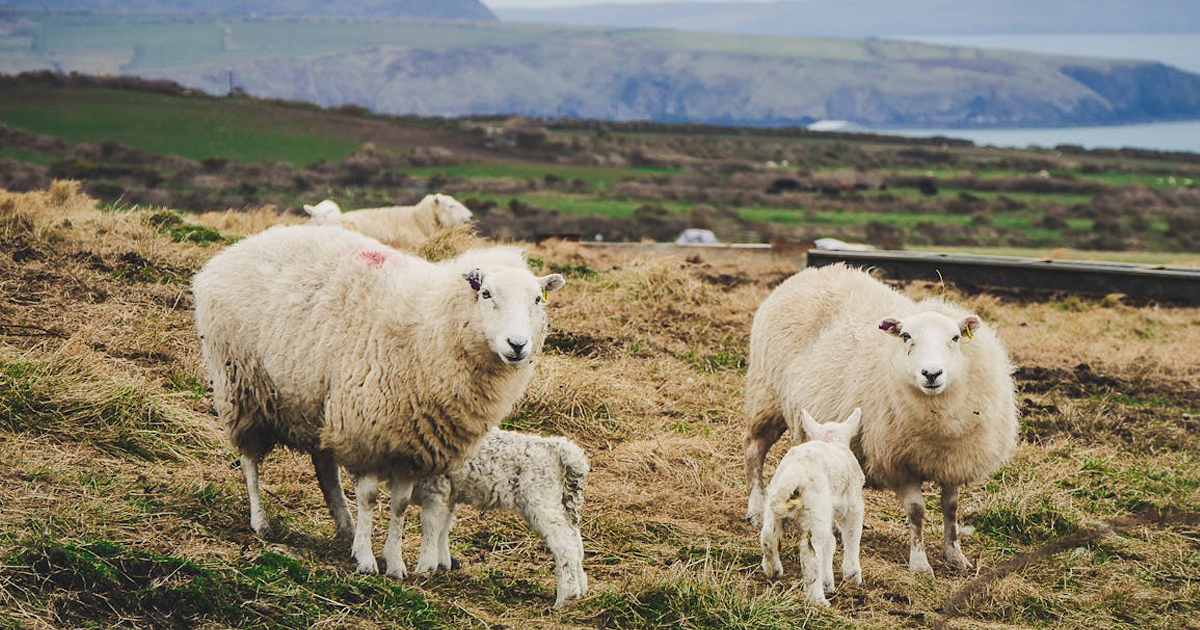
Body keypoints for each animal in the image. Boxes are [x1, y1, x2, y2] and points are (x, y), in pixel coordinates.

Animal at [189, 223, 564, 578]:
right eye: (486, 294)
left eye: (537, 300)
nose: (518, 345)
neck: (431, 327)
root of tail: (235, 250)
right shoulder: (365, 432)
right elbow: (369, 498)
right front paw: (367, 560)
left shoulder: (411, 446)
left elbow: (399, 505)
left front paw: (394, 563)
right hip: (241, 387)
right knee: (250, 460)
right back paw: (261, 522)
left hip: (319, 405)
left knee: (325, 468)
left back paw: (345, 527)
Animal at [410, 424, 588, 607]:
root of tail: (556, 447)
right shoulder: (449, 494)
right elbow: (443, 528)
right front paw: (442, 564)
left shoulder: (436, 490)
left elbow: (430, 527)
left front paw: (423, 570)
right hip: (563, 501)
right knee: (575, 539)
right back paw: (579, 590)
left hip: (540, 499)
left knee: (564, 544)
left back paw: (564, 597)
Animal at [744, 262, 1017, 571]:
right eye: (907, 337)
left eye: (955, 338)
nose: (931, 373)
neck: (938, 416)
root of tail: (810, 272)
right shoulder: (898, 461)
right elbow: (916, 512)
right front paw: (920, 563)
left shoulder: (955, 459)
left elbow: (951, 509)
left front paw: (955, 555)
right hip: (766, 394)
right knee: (754, 449)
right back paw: (756, 509)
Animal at [758, 405, 864, 607]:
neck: (832, 440)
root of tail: (795, 471)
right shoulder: (853, 506)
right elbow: (852, 536)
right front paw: (853, 575)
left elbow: (830, 543)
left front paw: (828, 582)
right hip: (816, 507)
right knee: (810, 551)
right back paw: (818, 599)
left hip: (775, 497)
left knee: (768, 534)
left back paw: (773, 569)